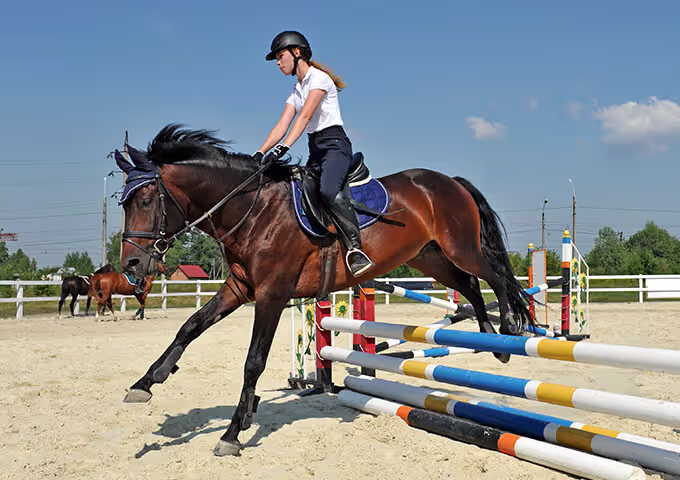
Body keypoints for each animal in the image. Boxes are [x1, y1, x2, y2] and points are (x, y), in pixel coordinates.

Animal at [116, 125, 533, 457]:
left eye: (147, 200)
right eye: (124, 203)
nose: (132, 265)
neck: (252, 209)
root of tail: (449, 180)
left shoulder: (271, 294)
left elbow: (253, 361)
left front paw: (232, 433)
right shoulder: (239, 287)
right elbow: (190, 326)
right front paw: (146, 383)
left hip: (460, 247)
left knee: (496, 277)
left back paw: (510, 329)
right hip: (429, 258)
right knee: (470, 285)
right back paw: (493, 343)